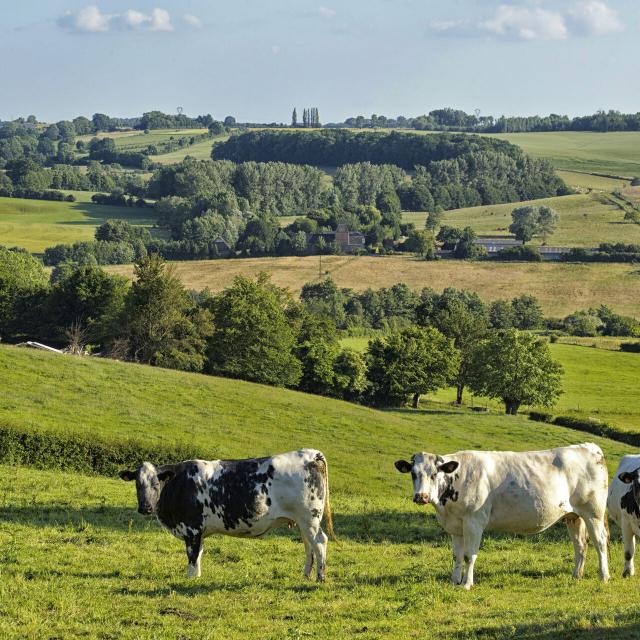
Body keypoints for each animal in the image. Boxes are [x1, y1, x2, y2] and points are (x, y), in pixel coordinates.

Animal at [118, 450, 336, 580]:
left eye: (156, 483)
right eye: (138, 484)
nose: (145, 507)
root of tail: (311, 454)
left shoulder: (192, 528)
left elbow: (192, 555)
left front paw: (190, 578)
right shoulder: (199, 531)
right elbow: (199, 554)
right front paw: (197, 577)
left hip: (309, 519)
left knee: (320, 542)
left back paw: (320, 578)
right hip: (302, 521)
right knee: (309, 546)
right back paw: (306, 574)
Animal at [396, 444, 608, 592]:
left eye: (434, 474)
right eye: (413, 474)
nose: (421, 496)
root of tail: (590, 447)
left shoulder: (474, 522)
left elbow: (469, 555)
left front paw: (467, 584)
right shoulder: (456, 526)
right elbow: (457, 555)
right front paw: (454, 581)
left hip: (593, 513)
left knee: (600, 542)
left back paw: (604, 576)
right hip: (574, 516)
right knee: (580, 545)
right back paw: (576, 575)